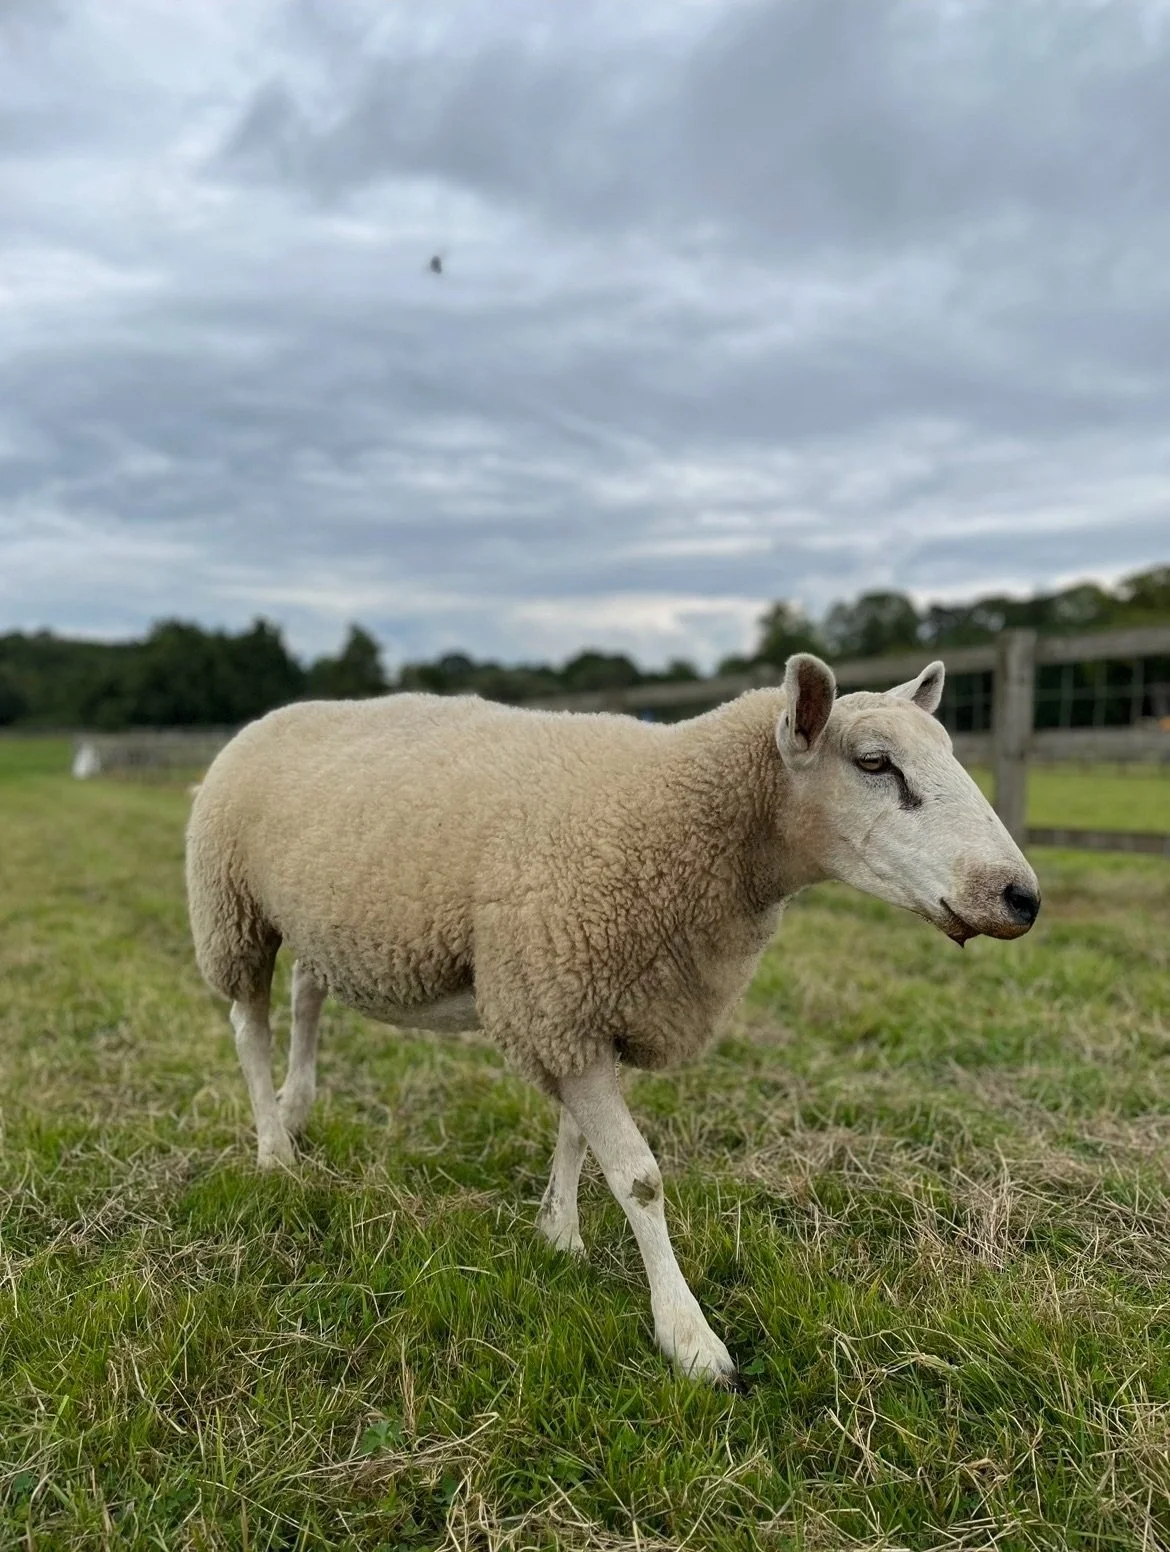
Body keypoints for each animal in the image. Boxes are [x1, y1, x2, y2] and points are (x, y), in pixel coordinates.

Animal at [186, 653, 1040, 1385]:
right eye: (873, 764)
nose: (1022, 898)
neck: (682, 818)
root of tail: (276, 714)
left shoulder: (584, 1002)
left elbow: (576, 1136)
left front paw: (558, 1233)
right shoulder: (559, 999)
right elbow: (639, 1178)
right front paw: (689, 1337)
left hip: (322, 923)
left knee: (306, 997)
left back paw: (296, 1109)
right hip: (233, 911)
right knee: (249, 1027)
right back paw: (274, 1149)